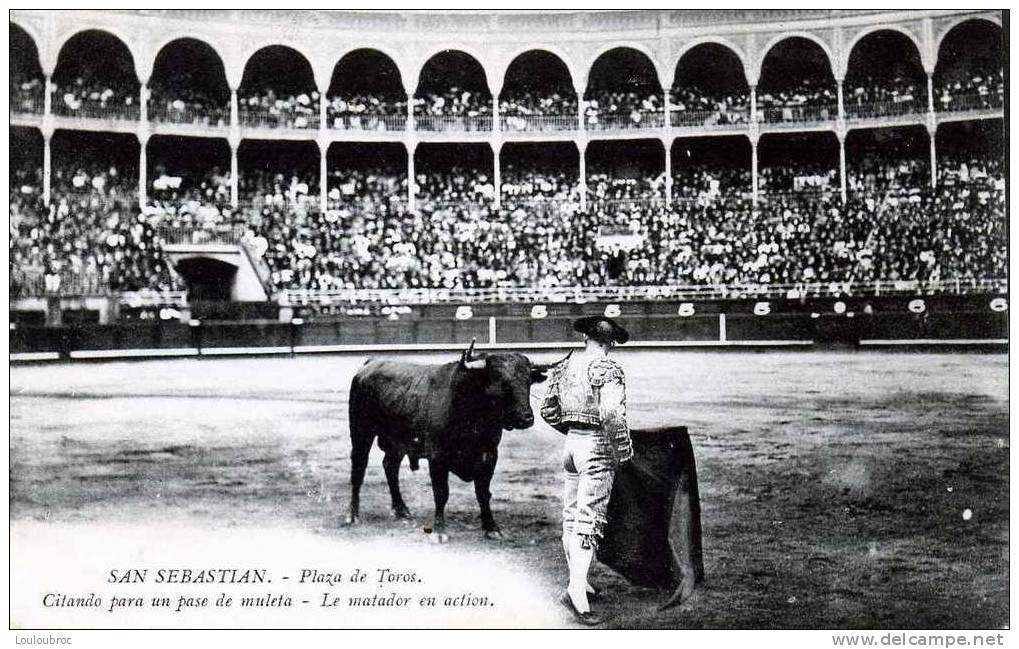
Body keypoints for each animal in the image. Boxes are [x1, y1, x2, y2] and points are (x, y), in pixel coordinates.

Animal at [346, 348, 705, 607]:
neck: (472, 412)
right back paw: (352, 515)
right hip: (361, 433)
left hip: (394, 442)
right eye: (498, 383)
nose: (525, 418)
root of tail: (370, 362)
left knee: (389, 466)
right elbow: (441, 494)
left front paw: (492, 528)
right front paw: (440, 531)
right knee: (359, 469)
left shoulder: (489, 456)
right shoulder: (437, 457)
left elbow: (483, 493)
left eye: (526, 382)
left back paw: (401, 509)